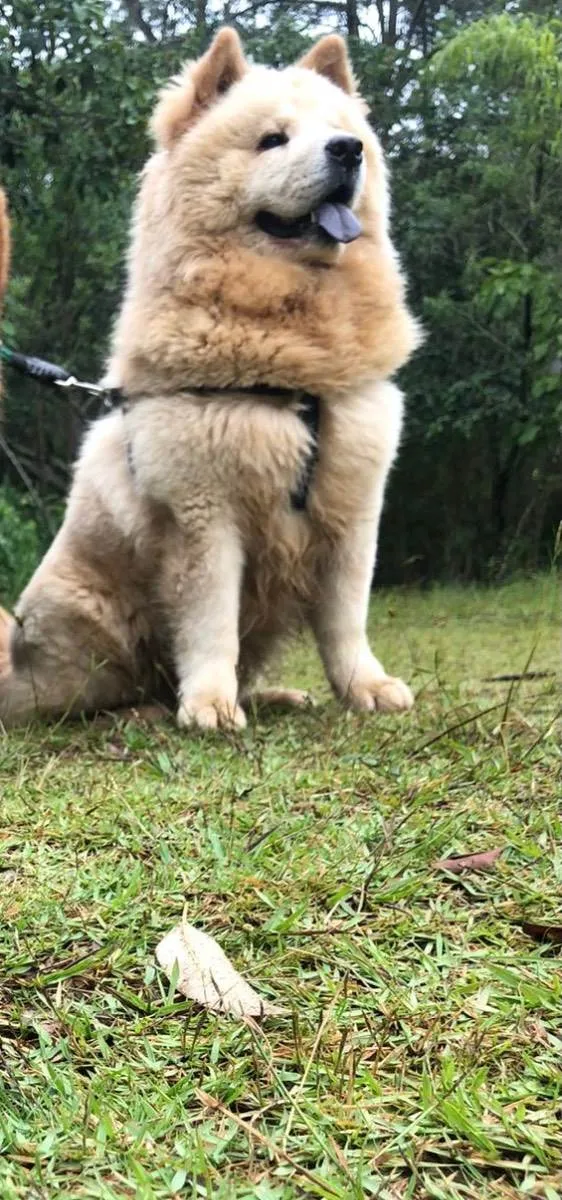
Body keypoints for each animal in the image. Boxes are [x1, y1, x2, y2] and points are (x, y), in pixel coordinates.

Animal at [0, 30, 422, 729]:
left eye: (340, 131)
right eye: (273, 139)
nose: (348, 150)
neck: (291, 371)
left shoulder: (353, 511)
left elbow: (345, 622)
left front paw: (366, 687)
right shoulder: (205, 518)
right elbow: (209, 624)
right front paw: (209, 706)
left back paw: (274, 694)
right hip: (90, 625)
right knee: (103, 694)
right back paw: (146, 711)